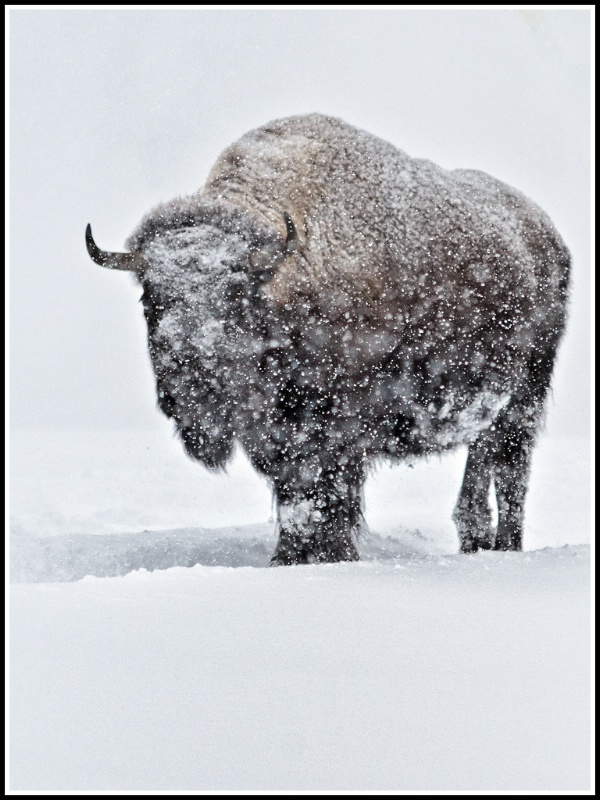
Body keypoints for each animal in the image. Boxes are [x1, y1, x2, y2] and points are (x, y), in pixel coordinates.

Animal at [84, 112, 568, 564]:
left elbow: (326, 493)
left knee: (510, 472)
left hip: (525, 397)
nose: (191, 382)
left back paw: (506, 546)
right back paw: (474, 543)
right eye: (150, 298)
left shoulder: (336, 424)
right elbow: (295, 492)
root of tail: (546, 234)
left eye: (237, 297)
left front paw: (326, 555)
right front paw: (290, 555)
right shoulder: (276, 433)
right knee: (481, 466)